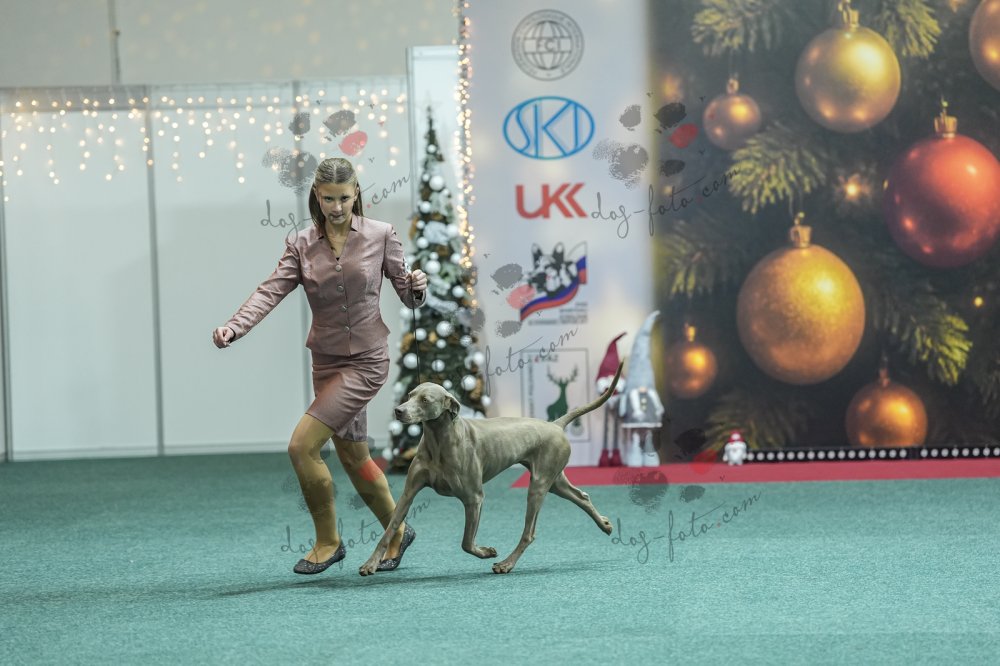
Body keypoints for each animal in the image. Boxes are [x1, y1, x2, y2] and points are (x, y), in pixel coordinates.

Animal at [359, 361, 624, 575]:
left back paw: (506, 564)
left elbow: (466, 542)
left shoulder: (474, 498)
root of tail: (556, 424)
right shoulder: (408, 493)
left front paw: (487, 552)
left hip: (539, 484)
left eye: (425, 400)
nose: (398, 411)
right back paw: (605, 525)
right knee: (582, 496)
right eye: (410, 394)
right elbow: (390, 528)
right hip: (554, 480)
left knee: (529, 532)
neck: (439, 440)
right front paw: (371, 564)